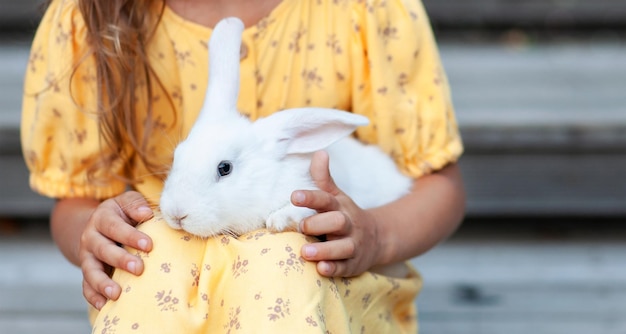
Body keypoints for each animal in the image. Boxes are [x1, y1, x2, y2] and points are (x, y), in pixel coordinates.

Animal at [158, 17, 412, 237]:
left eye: (225, 168)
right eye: (176, 156)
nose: (177, 214)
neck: (266, 178)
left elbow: (304, 209)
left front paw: (278, 220)